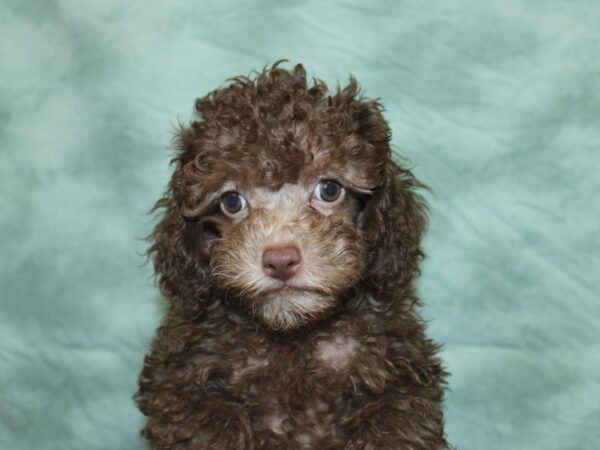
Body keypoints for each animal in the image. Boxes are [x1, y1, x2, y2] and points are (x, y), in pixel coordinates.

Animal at [135, 61, 446, 448]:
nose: (280, 261)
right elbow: (211, 425)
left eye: (329, 190)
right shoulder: (182, 382)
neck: (292, 334)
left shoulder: (399, 375)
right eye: (231, 201)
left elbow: (393, 423)